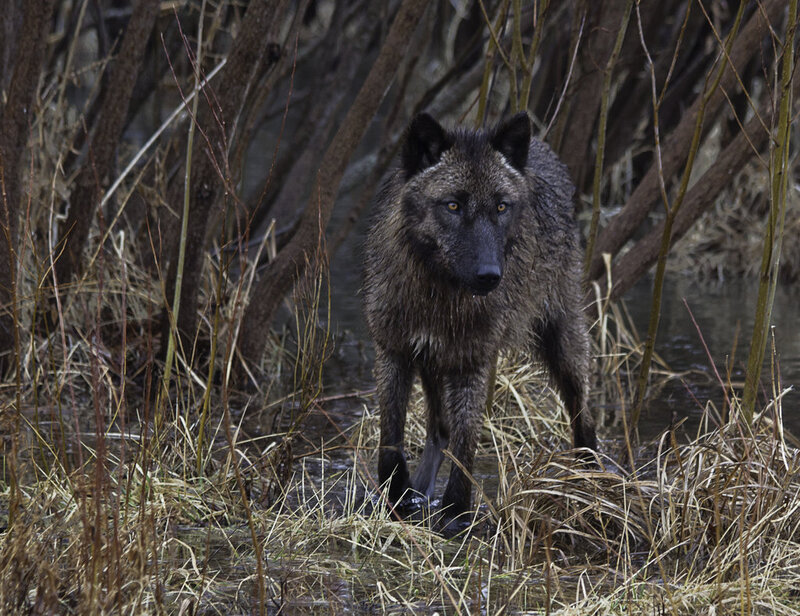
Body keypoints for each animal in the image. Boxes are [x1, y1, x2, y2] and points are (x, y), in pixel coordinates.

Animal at [363, 112, 596, 525]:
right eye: (453, 205)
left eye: (501, 207)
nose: (490, 276)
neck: (438, 296)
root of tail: (542, 148)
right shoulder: (394, 350)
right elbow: (391, 436)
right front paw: (397, 498)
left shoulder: (471, 362)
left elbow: (467, 441)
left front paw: (456, 513)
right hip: (433, 363)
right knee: (439, 429)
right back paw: (418, 492)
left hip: (562, 339)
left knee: (582, 412)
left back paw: (593, 480)